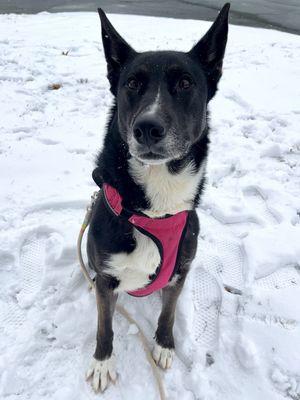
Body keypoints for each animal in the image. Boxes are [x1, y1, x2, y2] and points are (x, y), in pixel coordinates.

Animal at [85, 4, 231, 392]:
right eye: (132, 84)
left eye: (185, 83)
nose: (148, 128)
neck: (154, 209)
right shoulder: (106, 278)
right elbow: (104, 325)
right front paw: (103, 362)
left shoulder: (180, 271)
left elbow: (168, 311)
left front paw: (164, 345)